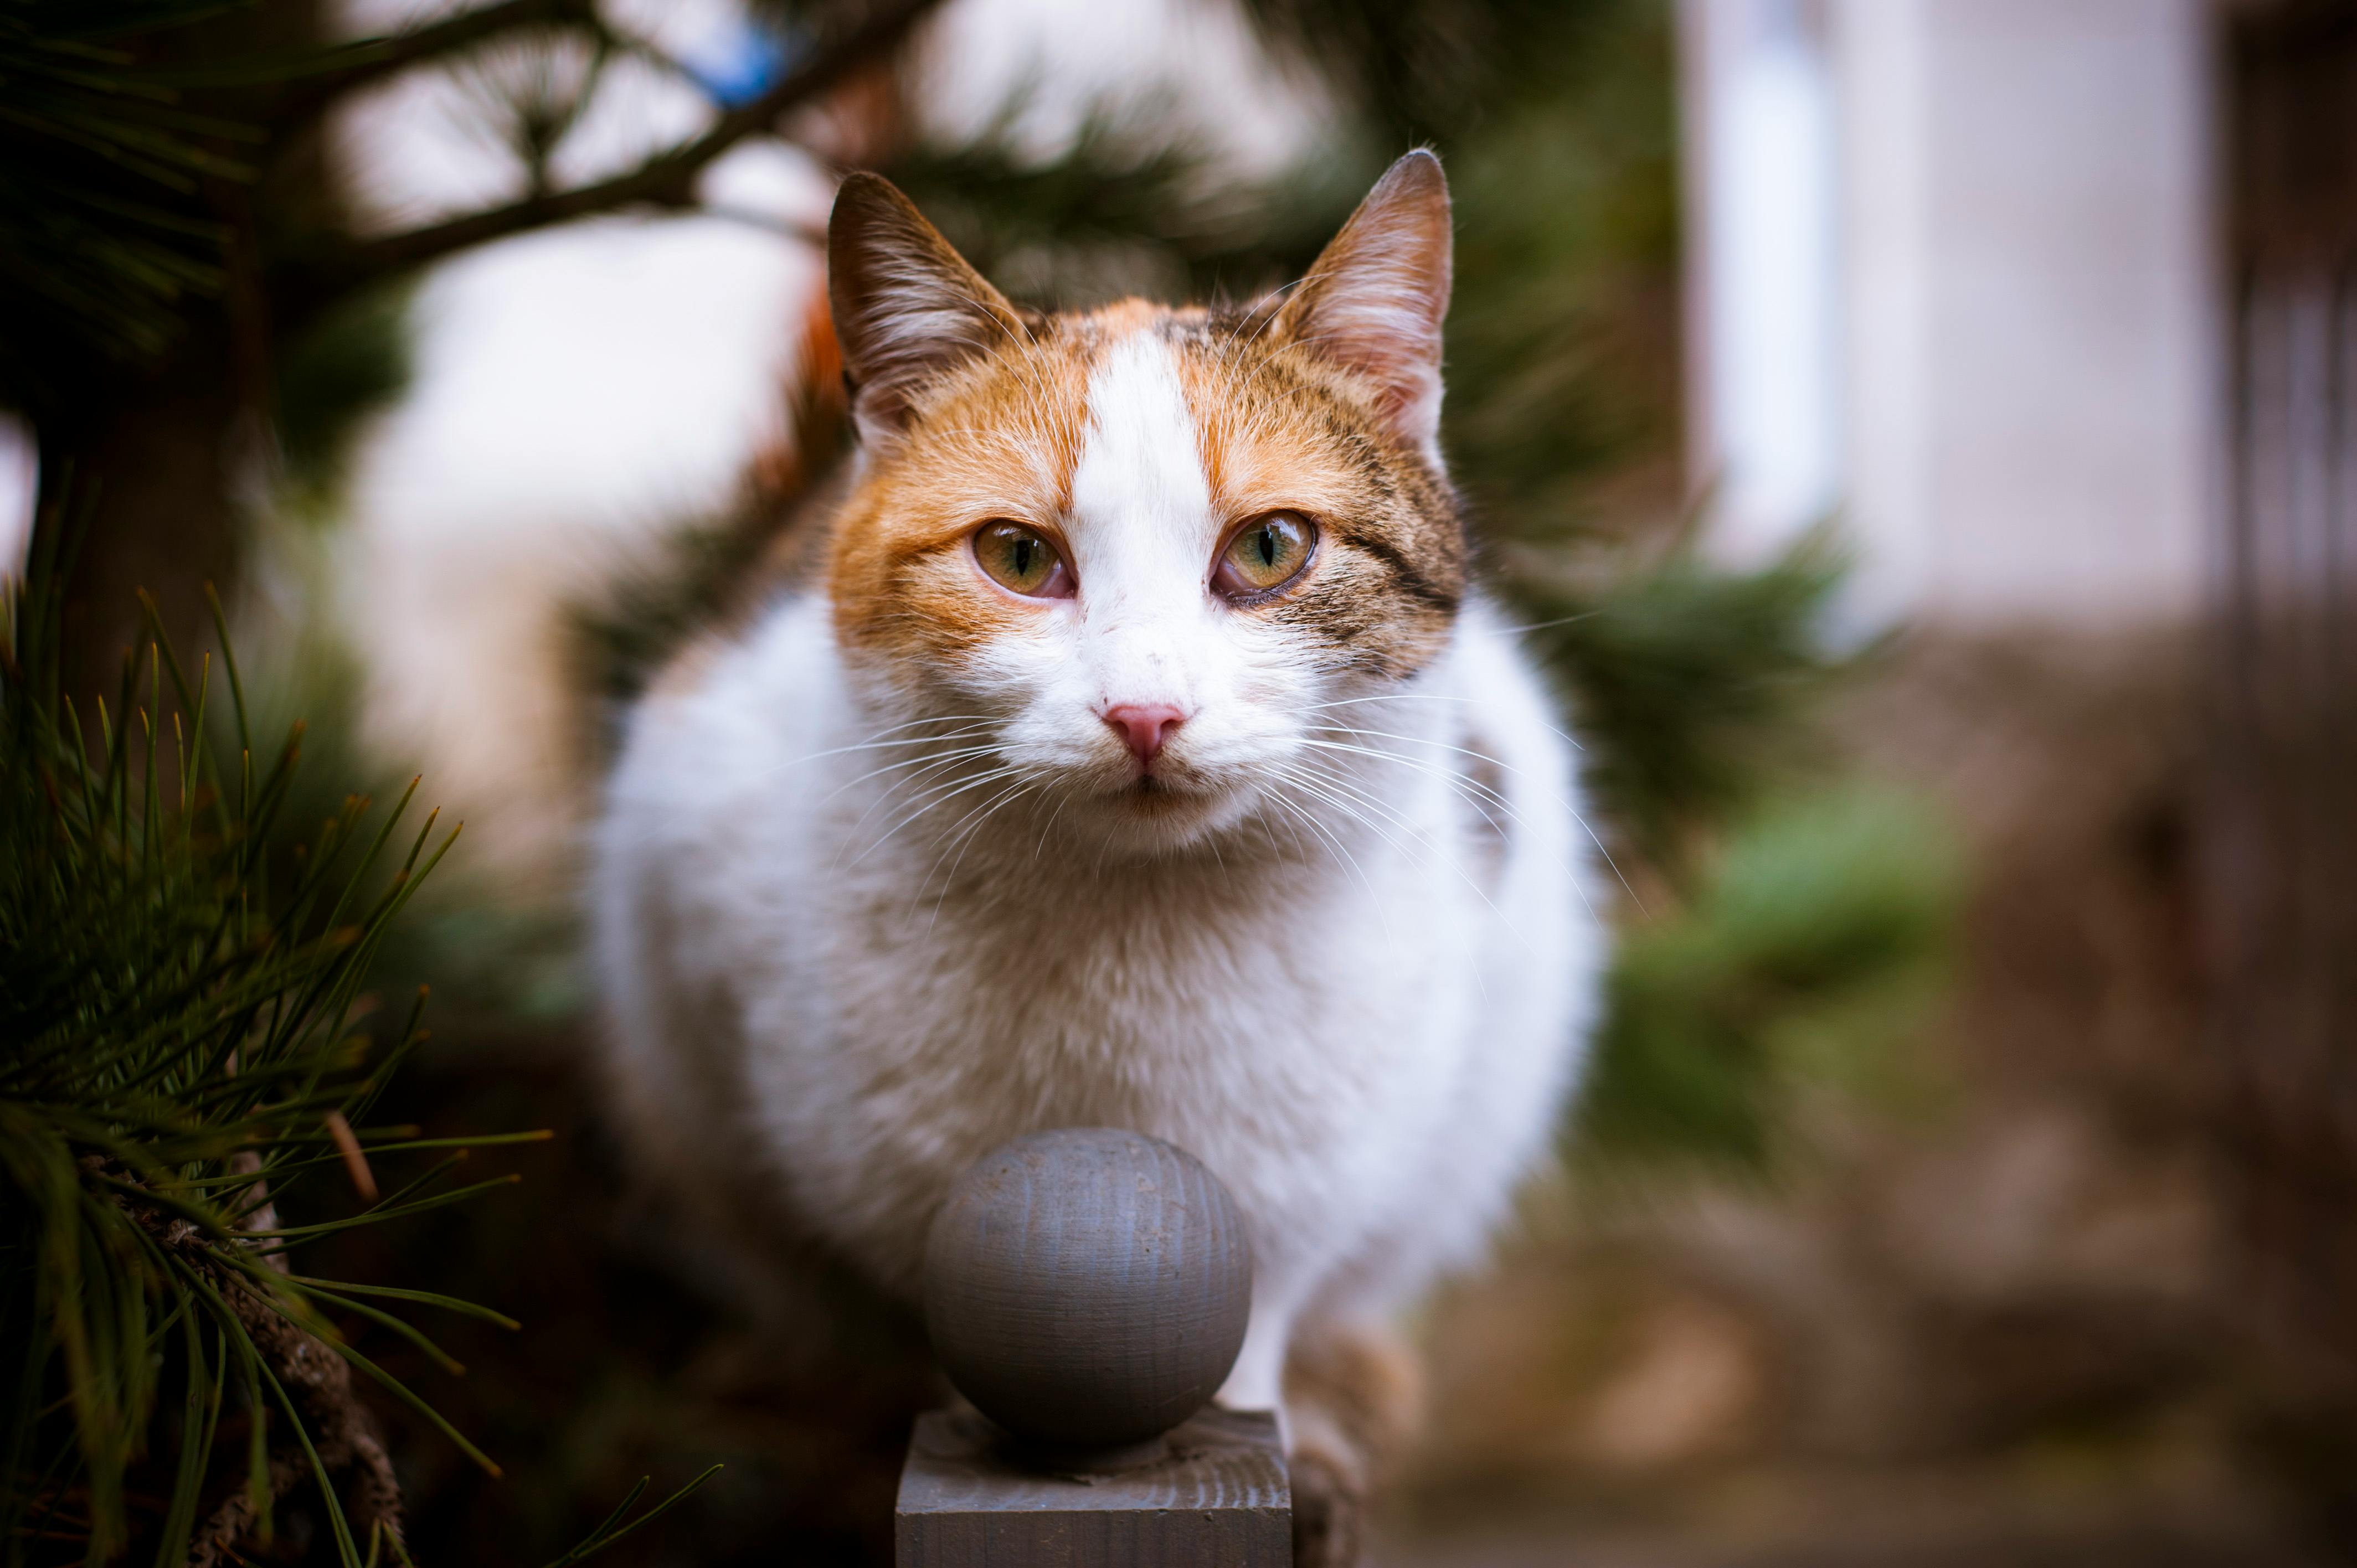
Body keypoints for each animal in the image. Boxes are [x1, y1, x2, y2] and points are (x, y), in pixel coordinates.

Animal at [599, 149, 1612, 1565]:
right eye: (1019, 556)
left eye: (1271, 547)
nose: (1145, 712)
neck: (1131, 940)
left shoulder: (1303, 1193)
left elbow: (1249, 1336)